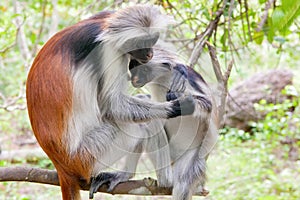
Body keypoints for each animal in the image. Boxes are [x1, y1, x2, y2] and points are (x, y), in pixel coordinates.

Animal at [25, 5, 196, 199]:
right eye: (140, 44)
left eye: (152, 39)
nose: (150, 54)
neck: (104, 27)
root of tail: (62, 167)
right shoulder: (108, 50)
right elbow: (112, 105)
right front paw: (177, 107)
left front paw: (175, 65)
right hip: (90, 154)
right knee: (145, 123)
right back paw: (166, 181)